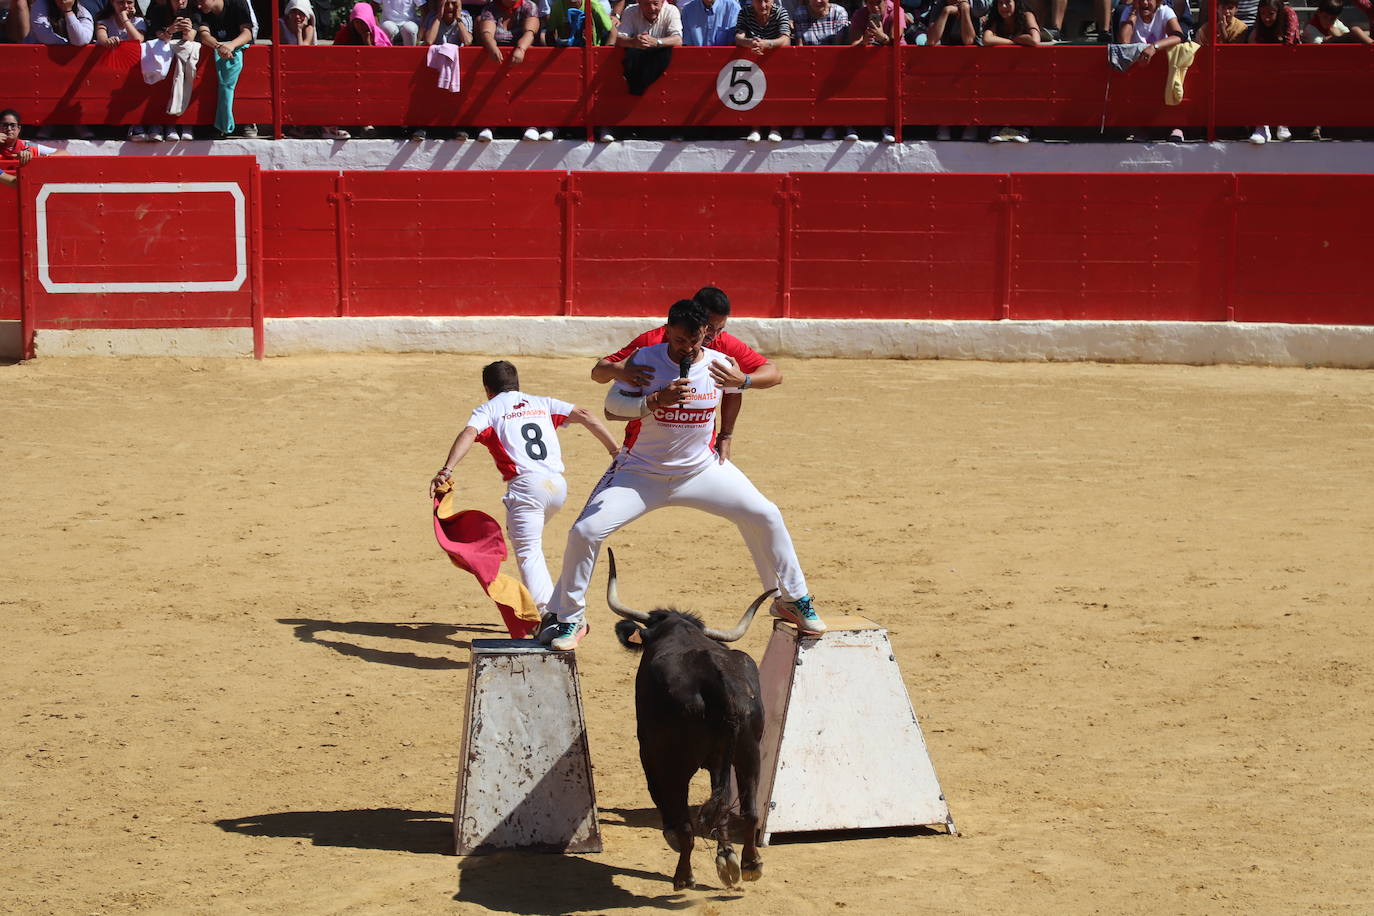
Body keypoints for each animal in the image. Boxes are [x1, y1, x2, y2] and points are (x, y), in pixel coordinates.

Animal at [604, 549, 774, 889]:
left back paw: (683, 876)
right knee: (747, 810)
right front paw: (726, 856)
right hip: (749, 753)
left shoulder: (650, 751)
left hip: (675, 760)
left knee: (685, 823)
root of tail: (718, 680)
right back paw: (748, 864)